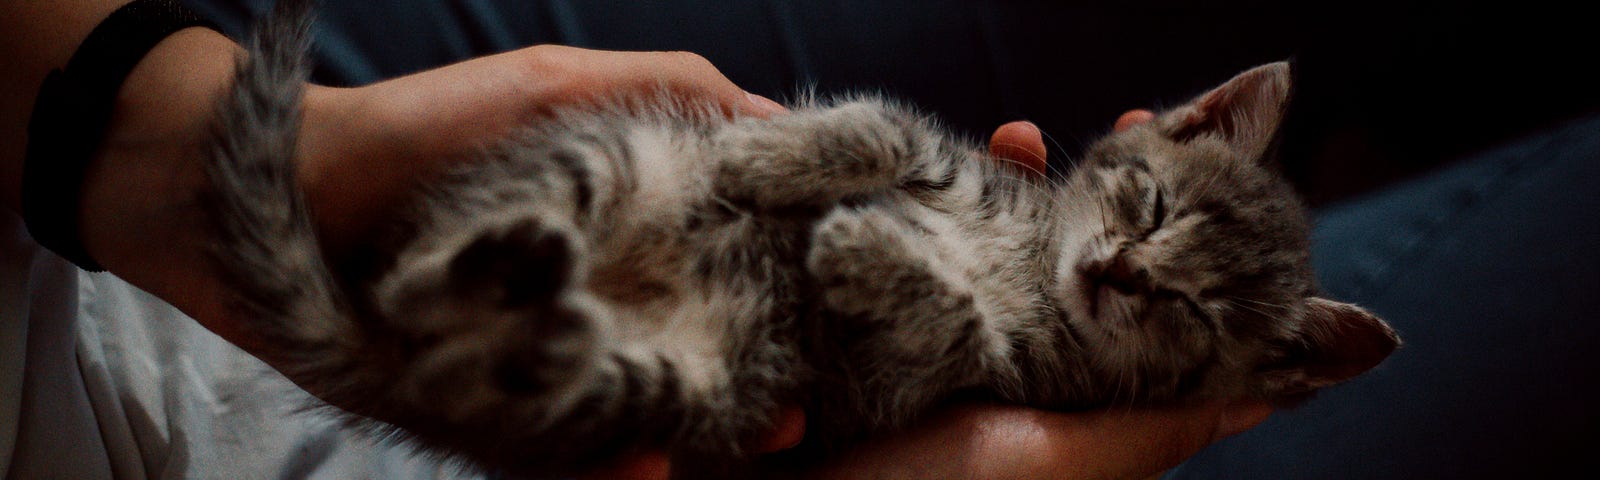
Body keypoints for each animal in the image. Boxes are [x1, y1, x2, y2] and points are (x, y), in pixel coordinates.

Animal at [203, 1, 1401, 476]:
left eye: (1192, 309)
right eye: (1148, 204)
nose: (1114, 269)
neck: (1028, 264)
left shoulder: (960, 377)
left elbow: (951, 322)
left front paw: (856, 252)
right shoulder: (936, 153)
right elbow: (875, 126)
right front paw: (761, 165)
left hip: (679, 387)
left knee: (462, 337)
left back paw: (533, 295)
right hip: (619, 156)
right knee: (422, 283)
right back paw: (525, 259)